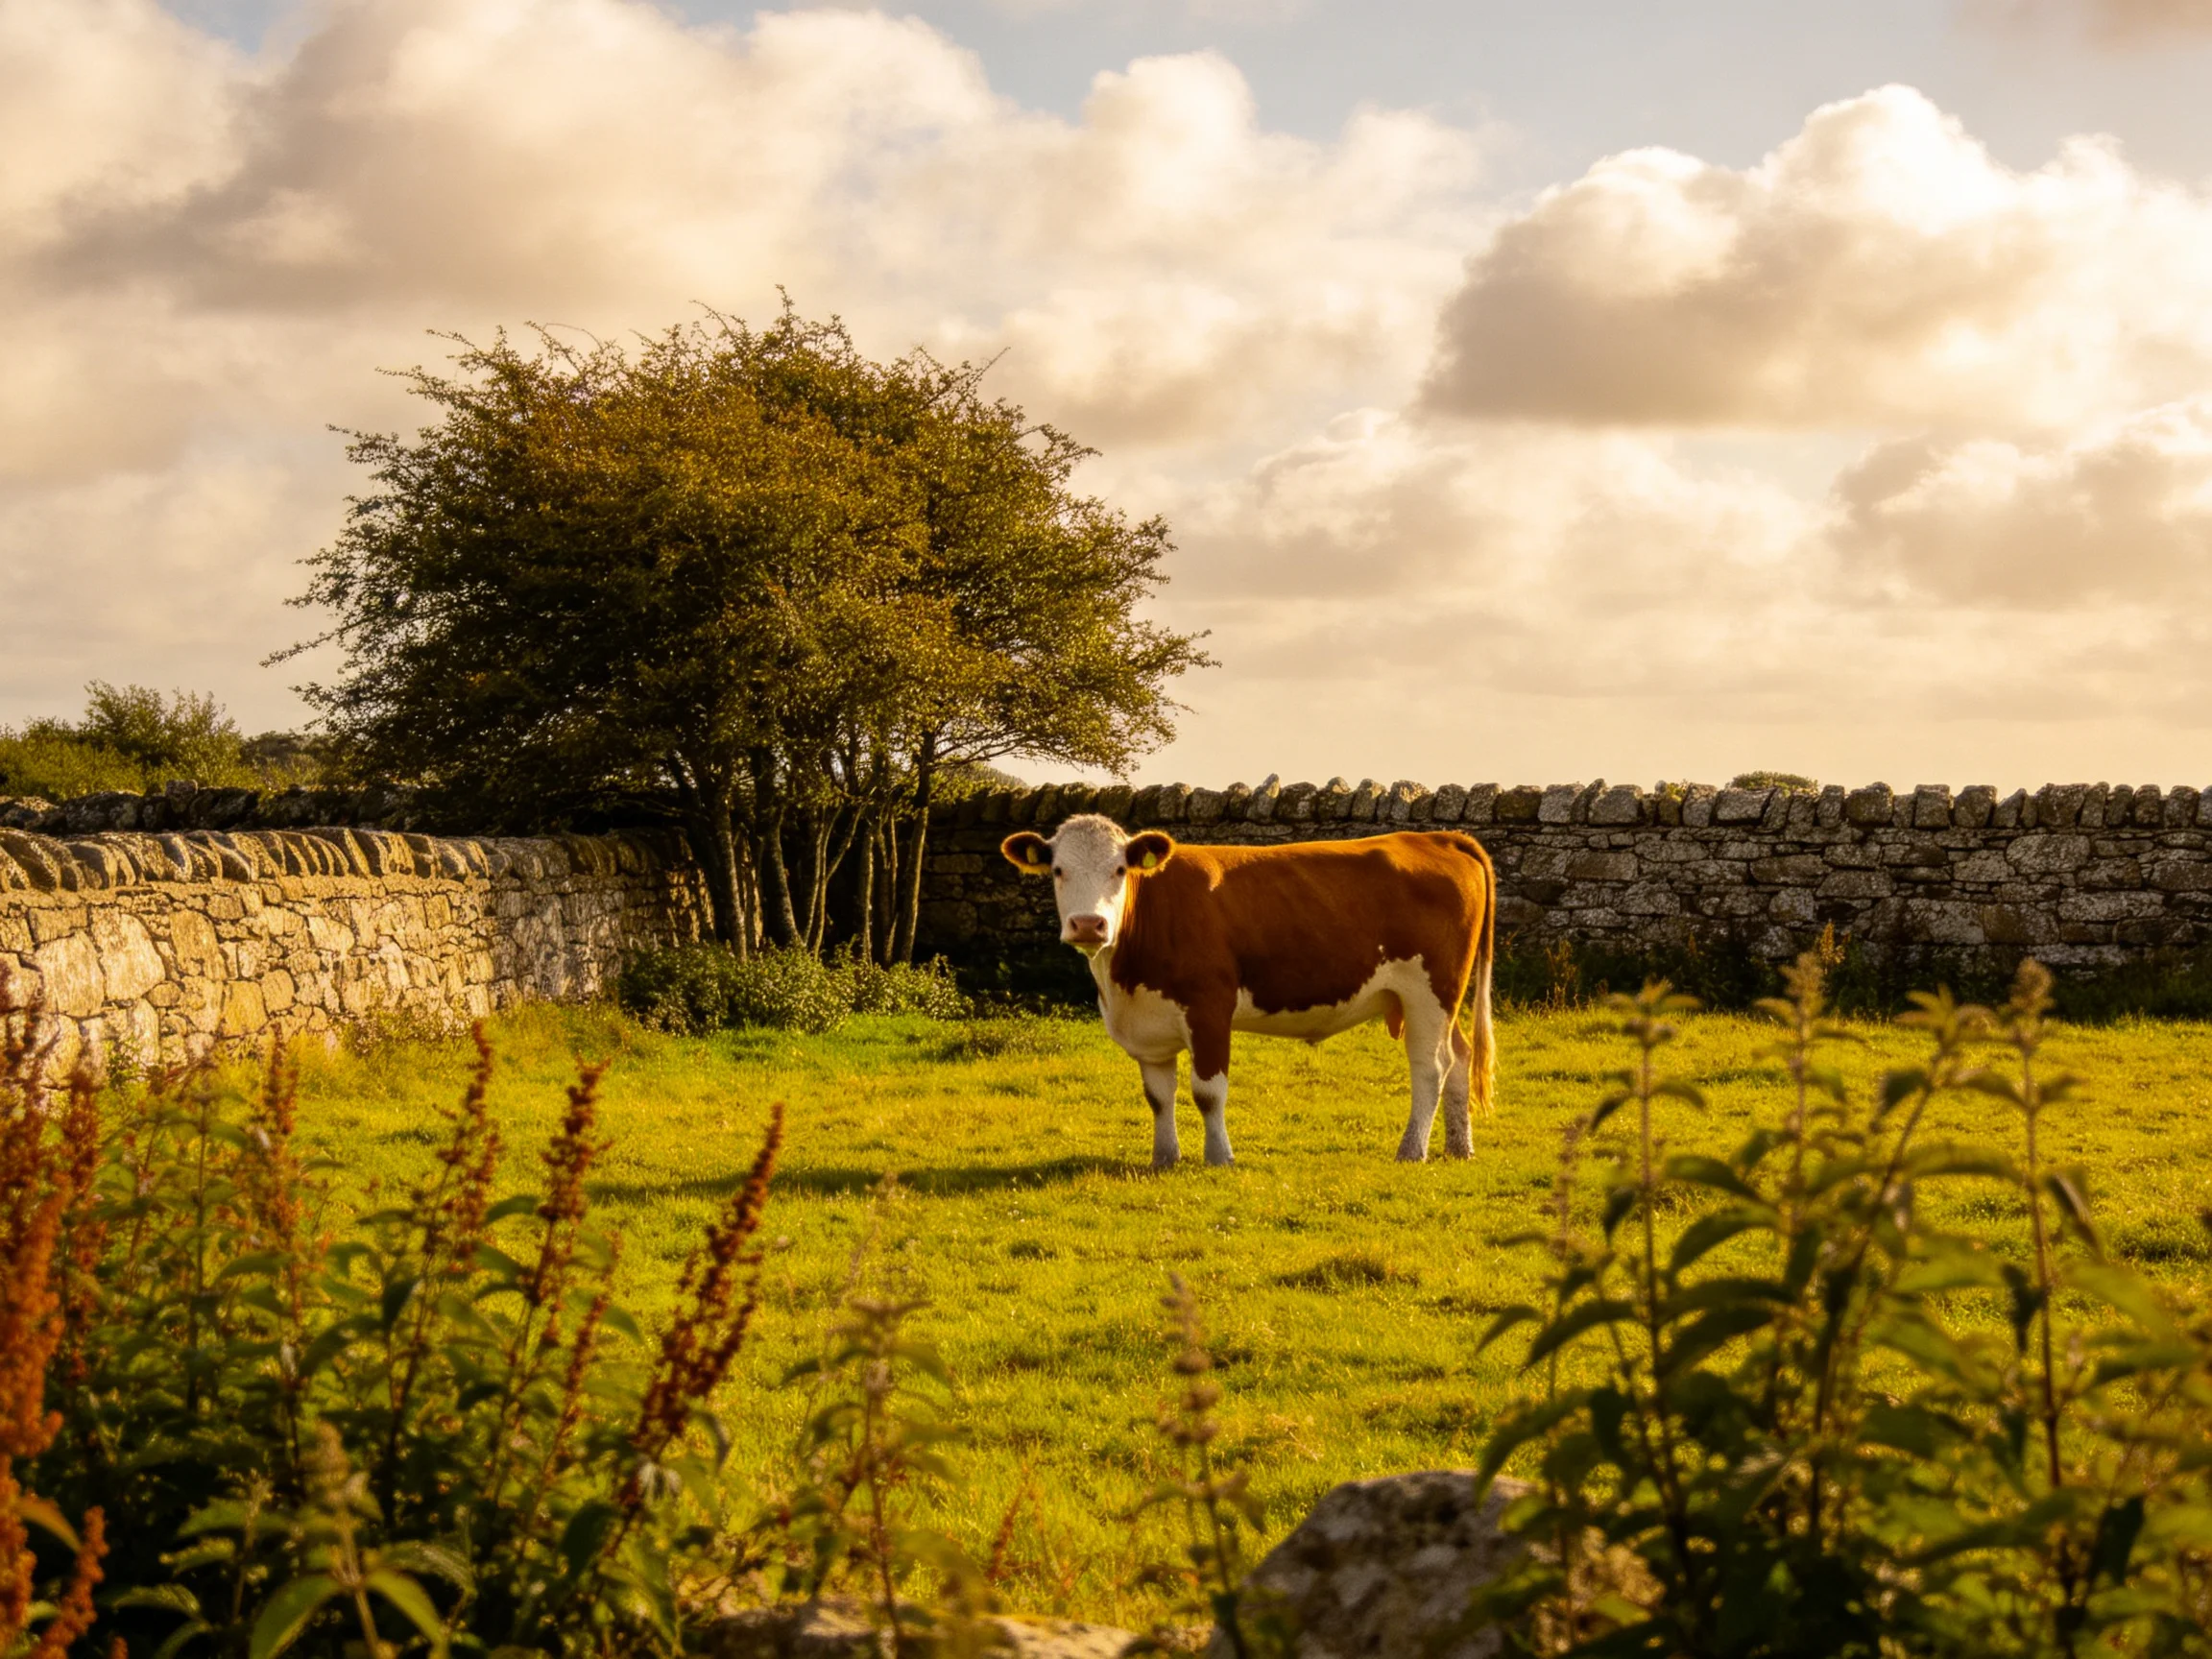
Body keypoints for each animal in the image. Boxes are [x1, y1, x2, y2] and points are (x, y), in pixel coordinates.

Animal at [999, 814, 1497, 1167]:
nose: (1088, 924)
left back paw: (1412, 1150)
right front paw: (1165, 1159)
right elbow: (1158, 1096)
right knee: (1459, 1056)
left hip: (1431, 990)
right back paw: (1459, 1147)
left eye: (1120, 869)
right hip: (1435, 999)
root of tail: (1437, 837)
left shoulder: (1208, 1008)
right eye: (1057, 870)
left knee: (1431, 1067)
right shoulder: (1148, 1025)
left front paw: (1219, 1158)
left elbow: (1207, 1091)